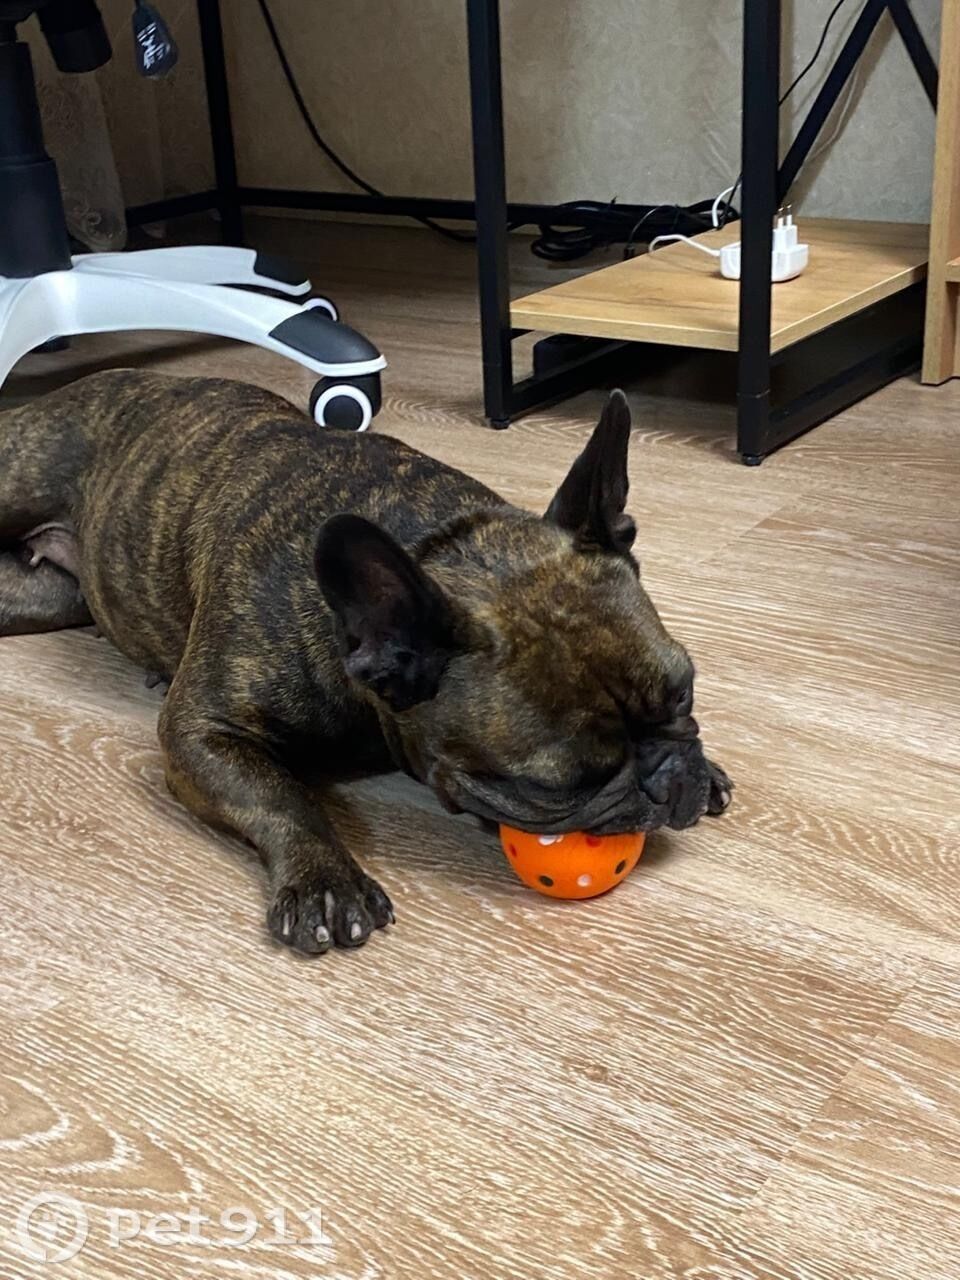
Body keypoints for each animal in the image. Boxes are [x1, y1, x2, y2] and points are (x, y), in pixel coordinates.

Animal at [0, 371, 732, 955]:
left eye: (685, 695)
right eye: (553, 787)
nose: (670, 780)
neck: (437, 542)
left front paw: (709, 770)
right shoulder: (200, 733)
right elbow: (279, 796)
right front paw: (325, 881)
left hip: (44, 598)